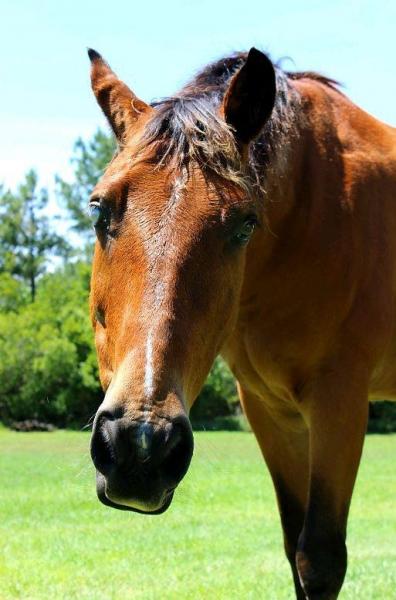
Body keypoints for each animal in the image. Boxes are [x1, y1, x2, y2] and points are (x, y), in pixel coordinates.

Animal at [87, 48, 396, 600]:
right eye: (99, 209)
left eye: (245, 224)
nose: (140, 445)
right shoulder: (271, 411)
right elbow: (295, 549)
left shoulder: (340, 403)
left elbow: (320, 558)